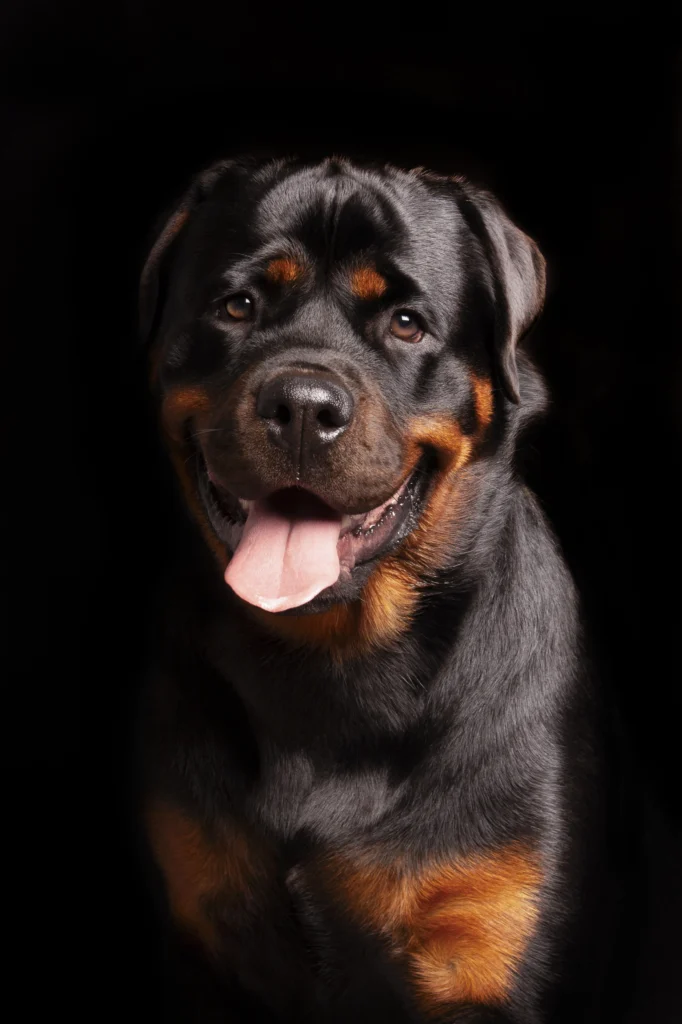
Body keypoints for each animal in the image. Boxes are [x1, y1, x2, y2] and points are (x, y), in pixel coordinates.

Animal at [135, 155, 602, 1019]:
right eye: (237, 305)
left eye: (407, 323)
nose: (301, 406)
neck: (332, 665)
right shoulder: (201, 926)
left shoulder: (486, 941)